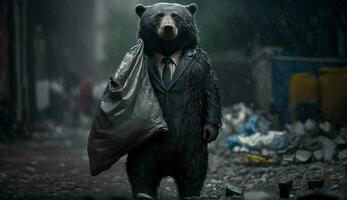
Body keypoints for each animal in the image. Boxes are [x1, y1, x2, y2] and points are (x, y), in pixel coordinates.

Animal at [127, 3, 223, 200]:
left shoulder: (200, 63)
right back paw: (143, 193)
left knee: (194, 168)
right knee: (140, 168)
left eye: (176, 16)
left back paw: (191, 194)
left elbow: (210, 89)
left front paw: (212, 129)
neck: (167, 53)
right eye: (158, 15)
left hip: (192, 140)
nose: (168, 28)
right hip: (147, 147)